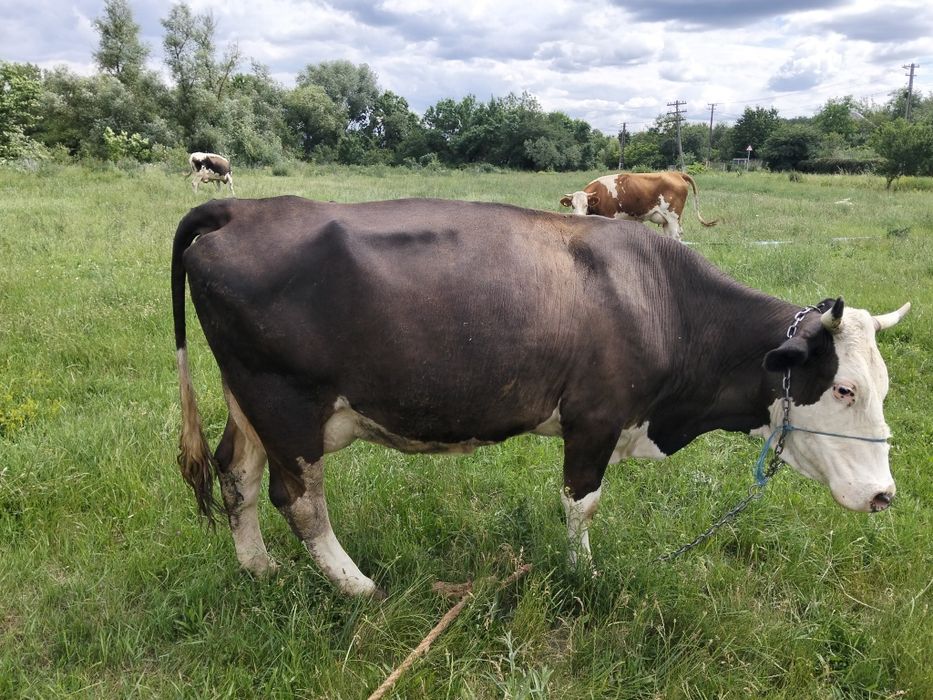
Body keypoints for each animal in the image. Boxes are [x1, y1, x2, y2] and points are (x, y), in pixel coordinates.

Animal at [171, 196, 909, 597]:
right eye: (842, 387)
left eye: (883, 388)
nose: (884, 495)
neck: (664, 301)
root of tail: (245, 207)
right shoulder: (596, 418)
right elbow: (581, 505)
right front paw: (583, 575)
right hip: (287, 404)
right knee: (297, 499)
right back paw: (356, 585)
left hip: (250, 403)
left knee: (236, 474)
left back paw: (259, 567)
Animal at [559, 171, 717, 240]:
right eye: (572, 205)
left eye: (586, 205)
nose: (578, 217)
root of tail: (675, 173)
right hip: (668, 221)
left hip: (672, 218)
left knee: (676, 236)